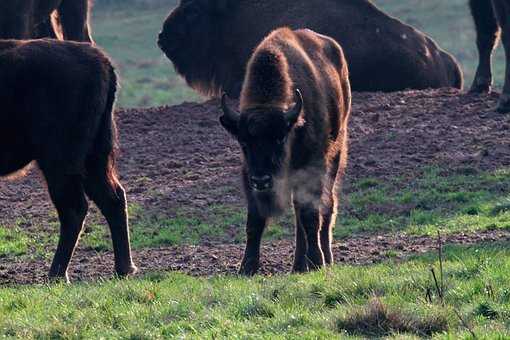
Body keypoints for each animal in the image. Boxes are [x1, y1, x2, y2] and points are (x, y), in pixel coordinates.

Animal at [0, 39, 135, 282]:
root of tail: (102, 61)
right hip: (93, 159)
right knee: (113, 199)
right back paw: (123, 269)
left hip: (59, 163)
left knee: (74, 208)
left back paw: (56, 275)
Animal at [219, 27, 350, 274]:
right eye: (244, 142)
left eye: (280, 138)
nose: (262, 180)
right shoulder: (248, 173)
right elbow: (255, 219)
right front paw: (247, 267)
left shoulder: (312, 167)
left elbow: (310, 214)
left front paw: (317, 262)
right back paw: (298, 265)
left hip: (337, 152)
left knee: (326, 205)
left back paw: (324, 258)